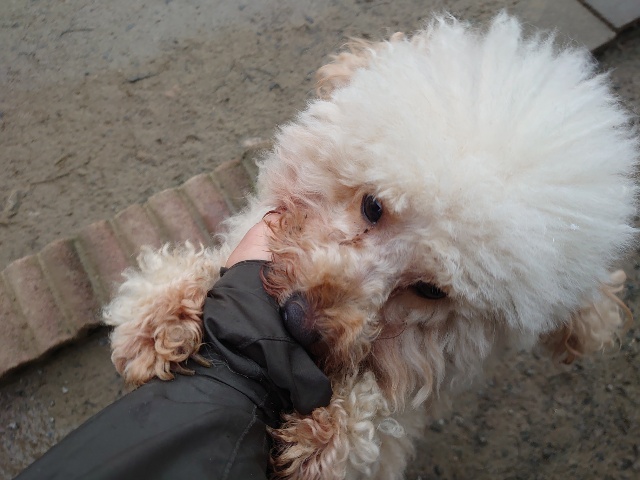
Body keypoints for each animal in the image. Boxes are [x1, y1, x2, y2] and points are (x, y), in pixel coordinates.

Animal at [103, 14, 637, 480]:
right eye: (373, 206)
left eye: (431, 291)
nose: (299, 323)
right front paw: (163, 315)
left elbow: (377, 429)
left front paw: (332, 434)